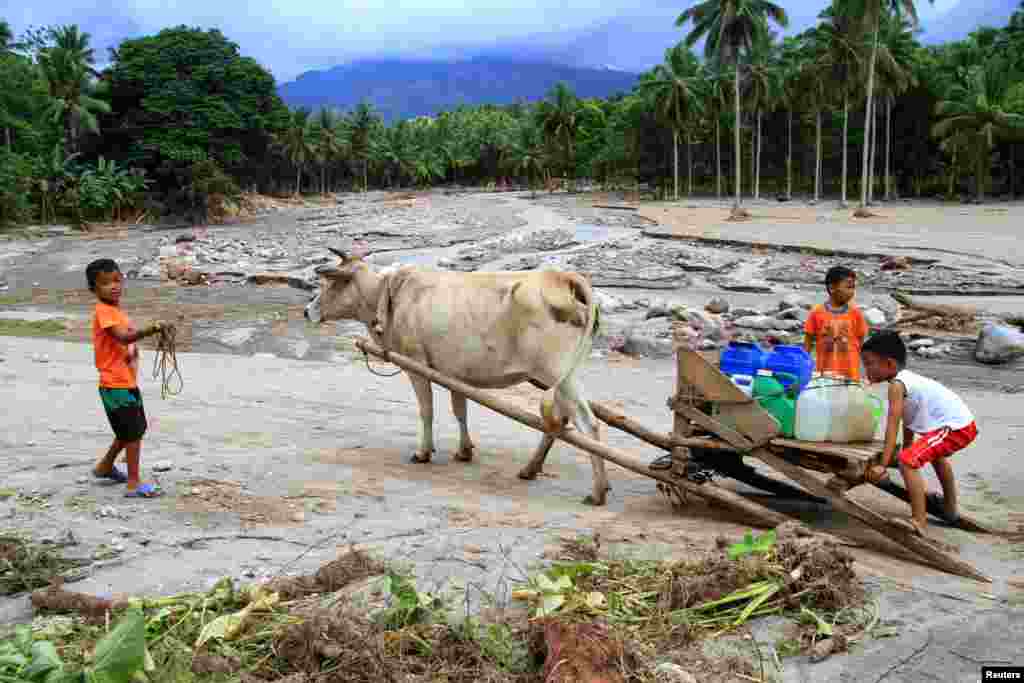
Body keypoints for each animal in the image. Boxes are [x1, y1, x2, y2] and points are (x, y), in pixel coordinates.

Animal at [303, 248, 606, 505]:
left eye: (330, 285)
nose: (307, 311)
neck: (388, 298)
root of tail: (563, 277)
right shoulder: (454, 373)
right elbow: (460, 410)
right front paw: (464, 451)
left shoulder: (416, 364)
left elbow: (427, 410)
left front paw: (423, 452)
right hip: (561, 378)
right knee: (561, 421)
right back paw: (531, 469)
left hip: (557, 373)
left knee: (587, 423)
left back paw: (597, 491)